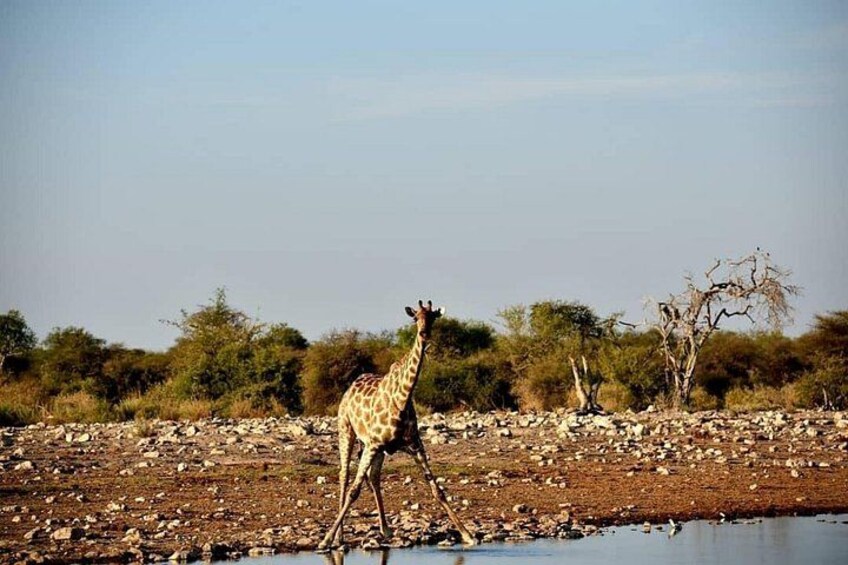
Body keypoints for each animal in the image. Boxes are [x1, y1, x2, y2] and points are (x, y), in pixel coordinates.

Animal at [318, 300, 477, 550]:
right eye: (415, 318)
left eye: (433, 318)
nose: (424, 333)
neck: (401, 400)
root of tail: (351, 385)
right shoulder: (374, 443)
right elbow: (354, 490)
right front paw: (325, 540)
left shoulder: (414, 445)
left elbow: (437, 490)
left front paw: (467, 535)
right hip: (347, 430)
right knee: (345, 475)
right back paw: (339, 536)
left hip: (375, 448)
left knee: (373, 477)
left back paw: (385, 530)